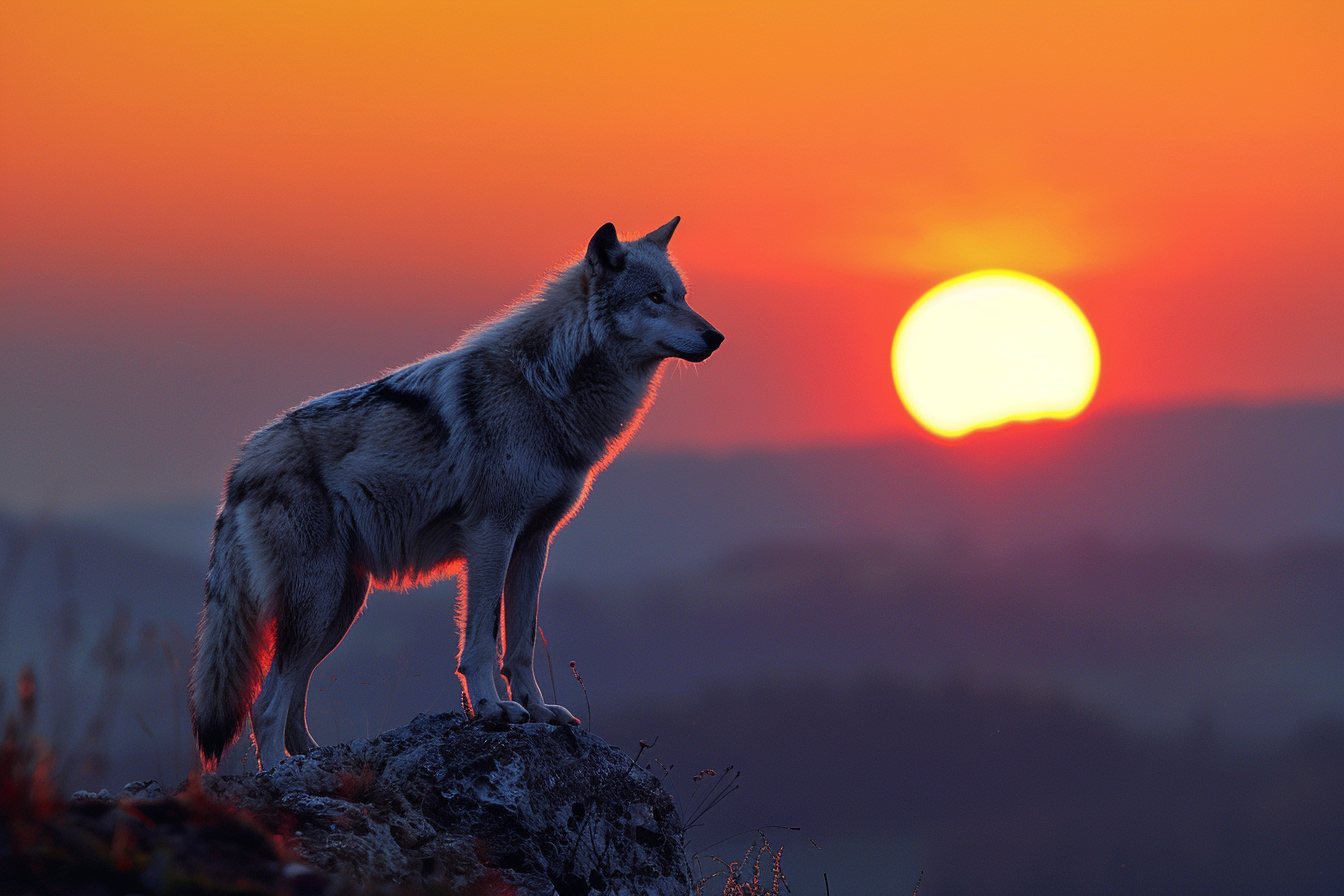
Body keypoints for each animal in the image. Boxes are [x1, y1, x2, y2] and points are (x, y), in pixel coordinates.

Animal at [188, 218, 722, 770]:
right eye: (655, 297)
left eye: (682, 296)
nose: (717, 336)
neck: (548, 384)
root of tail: (241, 466)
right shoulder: (492, 534)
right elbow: (482, 640)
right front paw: (491, 709)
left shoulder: (534, 541)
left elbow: (521, 642)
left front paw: (537, 710)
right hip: (317, 603)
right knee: (265, 705)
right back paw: (279, 775)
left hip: (340, 607)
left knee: (294, 699)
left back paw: (318, 760)